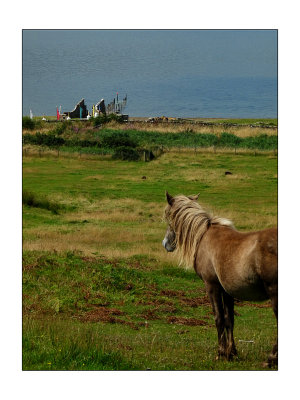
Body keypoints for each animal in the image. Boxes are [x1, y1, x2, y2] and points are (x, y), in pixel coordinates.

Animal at [163, 192, 278, 368]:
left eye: (168, 217)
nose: (166, 244)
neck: (203, 236)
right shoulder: (227, 290)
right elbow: (229, 319)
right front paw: (232, 353)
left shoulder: (212, 286)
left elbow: (218, 318)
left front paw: (221, 353)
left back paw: (270, 359)